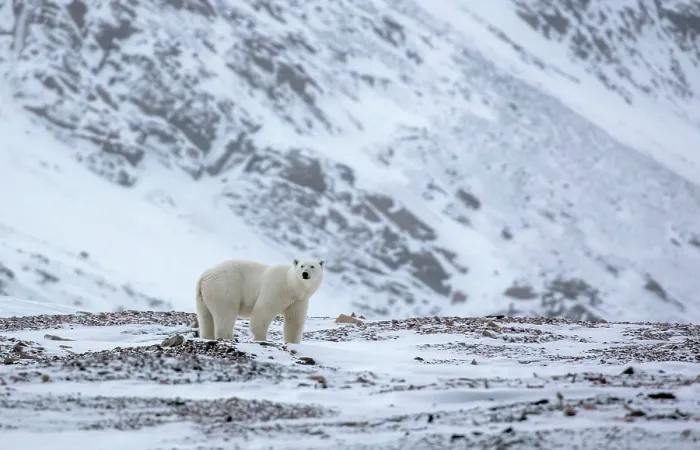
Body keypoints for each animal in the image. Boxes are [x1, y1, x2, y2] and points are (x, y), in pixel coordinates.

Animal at [195, 258, 325, 343]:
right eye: (302, 266)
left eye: (312, 266)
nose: (305, 274)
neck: (291, 286)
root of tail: (204, 277)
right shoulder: (276, 289)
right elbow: (263, 311)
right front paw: (261, 338)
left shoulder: (298, 300)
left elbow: (295, 320)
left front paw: (293, 342)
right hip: (225, 288)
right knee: (226, 313)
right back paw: (228, 337)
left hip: (204, 297)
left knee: (205, 317)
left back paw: (207, 336)